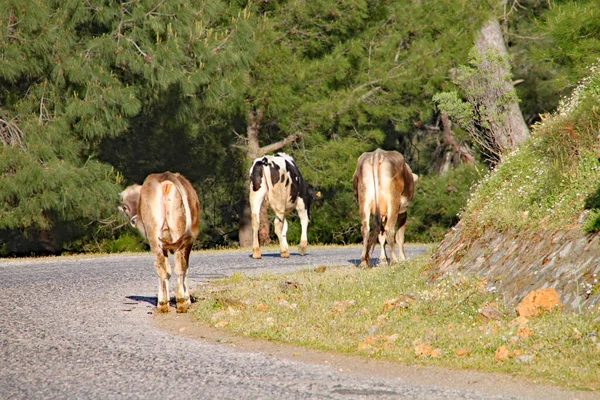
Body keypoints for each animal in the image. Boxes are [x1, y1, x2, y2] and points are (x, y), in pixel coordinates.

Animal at [118, 172, 200, 312]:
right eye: (125, 207)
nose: (134, 220)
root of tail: (165, 176)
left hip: (157, 234)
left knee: (168, 266)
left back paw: (167, 303)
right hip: (174, 233)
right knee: (175, 265)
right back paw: (177, 302)